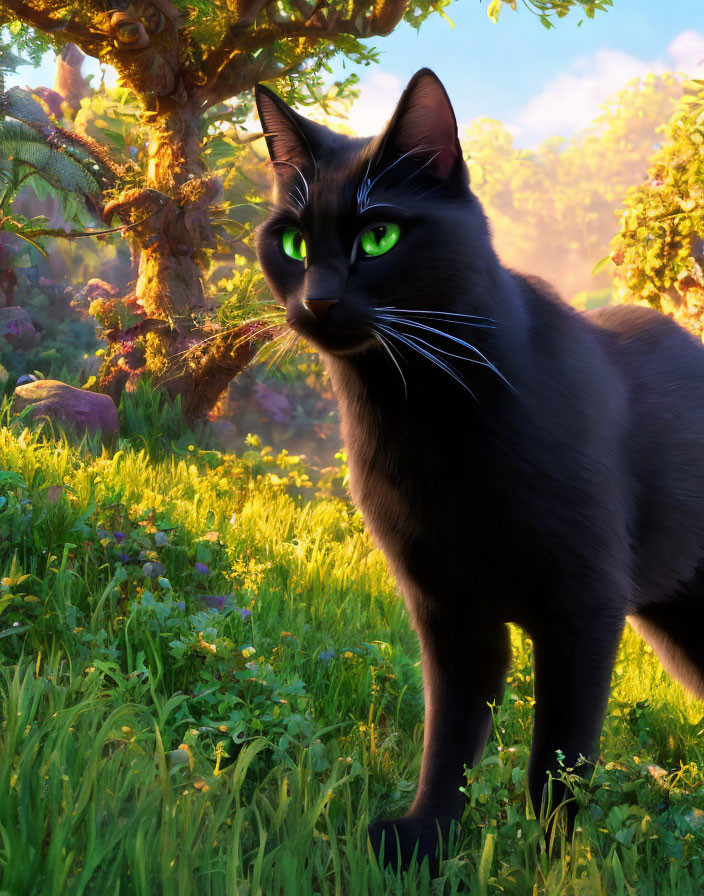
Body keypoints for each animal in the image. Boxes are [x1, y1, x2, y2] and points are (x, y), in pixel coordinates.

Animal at [256, 72, 704, 876]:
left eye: (378, 236)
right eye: (293, 241)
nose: (318, 299)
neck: (421, 413)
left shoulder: (581, 608)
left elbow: (558, 760)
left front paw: (550, 867)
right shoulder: (449, 608)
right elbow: (450, 740)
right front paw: (424, 843)